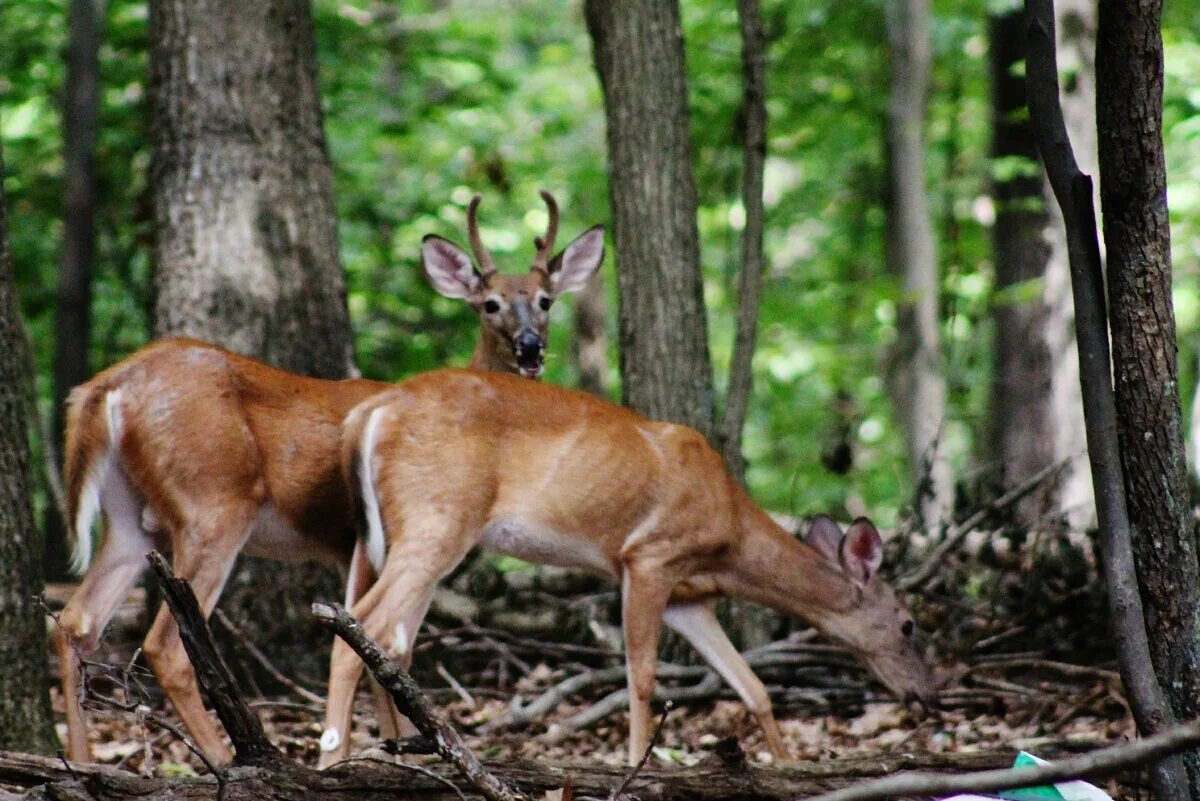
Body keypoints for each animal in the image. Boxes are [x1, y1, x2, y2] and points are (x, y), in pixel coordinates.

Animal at [54, 190, 609, 767]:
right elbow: (382, 647)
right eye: (490, 304)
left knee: (76, 622)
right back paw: (234, 761)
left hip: (130, 516)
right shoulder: (365, 538)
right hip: (214, 502)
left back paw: (80, 760)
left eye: (546, 300)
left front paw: (397, 747)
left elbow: (384, 652)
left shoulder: (351, 547)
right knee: (163, 646)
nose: (530, 347)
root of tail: (106, 385)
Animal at [319, 371, 936, 767]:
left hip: (382, 535)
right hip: (439, 517)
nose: (927, 692)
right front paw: (640, 761)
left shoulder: (691, 598)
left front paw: (786, 766)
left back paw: (396, 756)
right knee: (359, 629)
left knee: (387, 642)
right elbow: (642, 677)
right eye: (908, 624)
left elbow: (752, 684)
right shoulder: (649, 557)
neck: (730, 538)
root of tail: (371, 412)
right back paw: (334, 761)